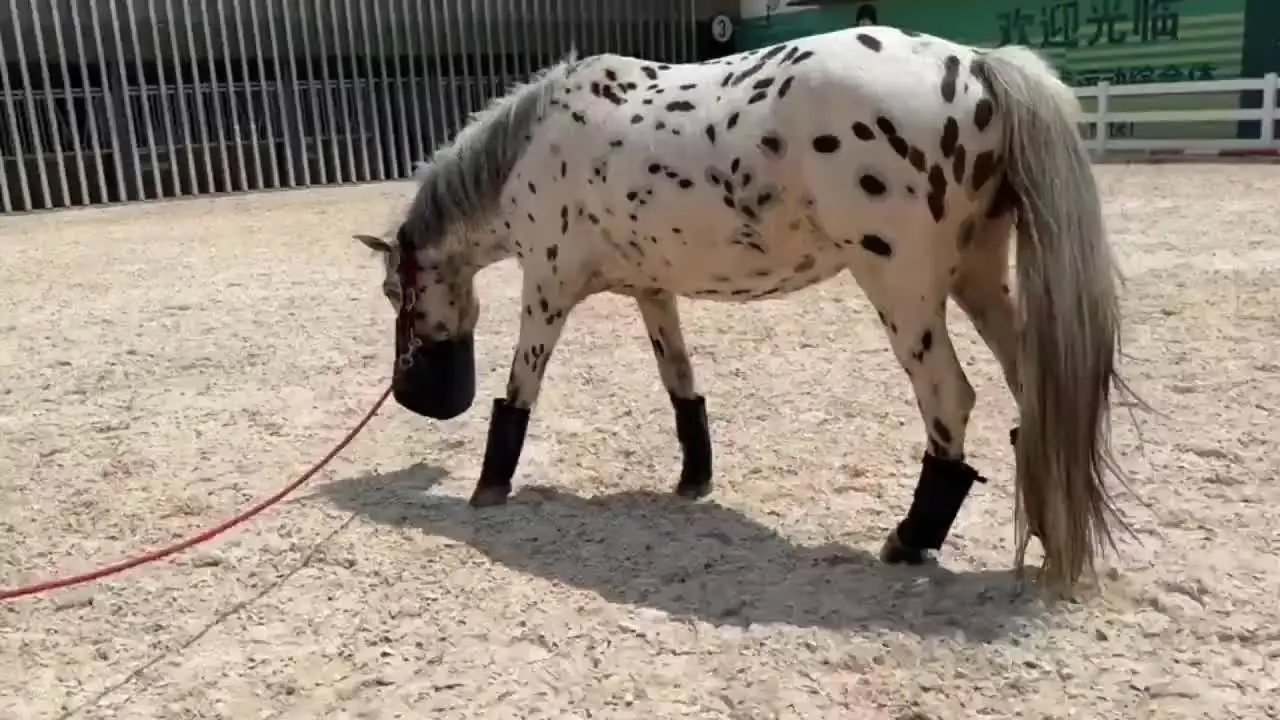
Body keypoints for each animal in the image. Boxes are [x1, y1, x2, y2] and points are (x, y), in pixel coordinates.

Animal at [353, 25, 1134, 593]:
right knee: (1033, 392)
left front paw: (490, 486)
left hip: (903, 292)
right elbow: (681, 386)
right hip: (980, 277)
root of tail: (976, 65)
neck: (536, 143)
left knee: (950, 398)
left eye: (397, 293)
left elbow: (520, 391)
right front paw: (693, 480)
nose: (414, 396)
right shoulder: (653, 292)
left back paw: (909, 541)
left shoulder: (545, 288)